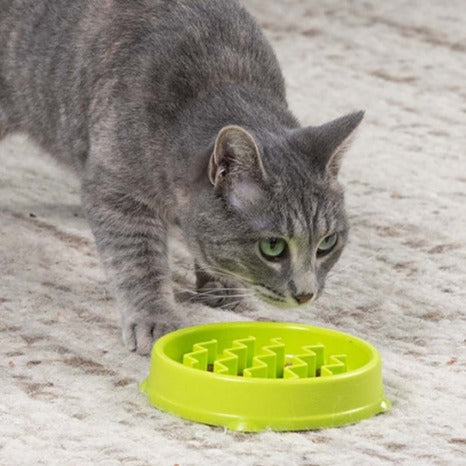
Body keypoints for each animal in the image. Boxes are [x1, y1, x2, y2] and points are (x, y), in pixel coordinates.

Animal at [0, 0, 364, 354]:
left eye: (327, 243)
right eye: (272, 247)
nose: (306, 294)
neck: (221, 80)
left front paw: (221, 286)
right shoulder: (116, 191)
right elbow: (139, 261)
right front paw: (155, 318)